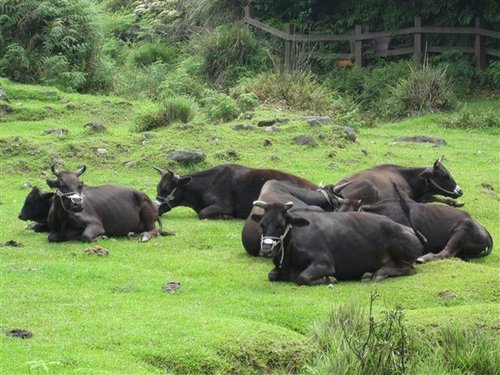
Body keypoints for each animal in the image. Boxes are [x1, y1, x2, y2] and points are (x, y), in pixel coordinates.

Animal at [249, 203, 422, 284]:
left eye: (280, 224)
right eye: (262, 224)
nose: (266, 250)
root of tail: (409, 229)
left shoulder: (324, 263)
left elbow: (302, 278)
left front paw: (330, 279)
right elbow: (271, 275)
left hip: (403, 257)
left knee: (409, 269)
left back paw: (379, 273)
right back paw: (369, 274)